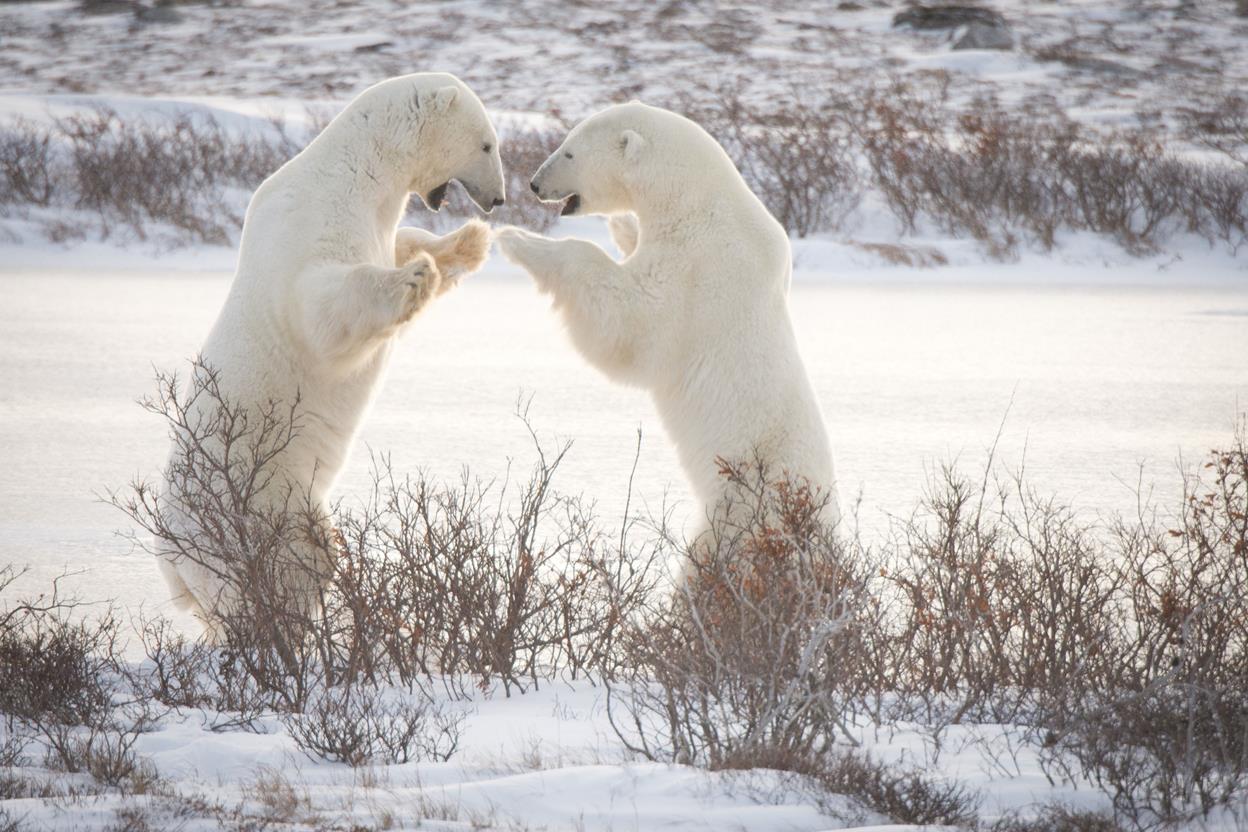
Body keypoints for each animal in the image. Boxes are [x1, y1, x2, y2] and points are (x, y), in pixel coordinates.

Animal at [157, 73, 501, 638]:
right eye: (488, 144)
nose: (497, 199)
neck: (351, 173)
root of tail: (174, 568)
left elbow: (402, 241)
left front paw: (465, 243)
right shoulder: (307, 233)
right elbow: (324, 307)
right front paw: (416, 276)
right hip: (258, 504)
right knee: (287, 569)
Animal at [496, 101, 838, 541]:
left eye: (569, 152)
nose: (535, 184)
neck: (695, 199)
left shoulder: (698, 265)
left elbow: (631, 319)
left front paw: (516, 239)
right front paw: (623, 226)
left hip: (745, 503)